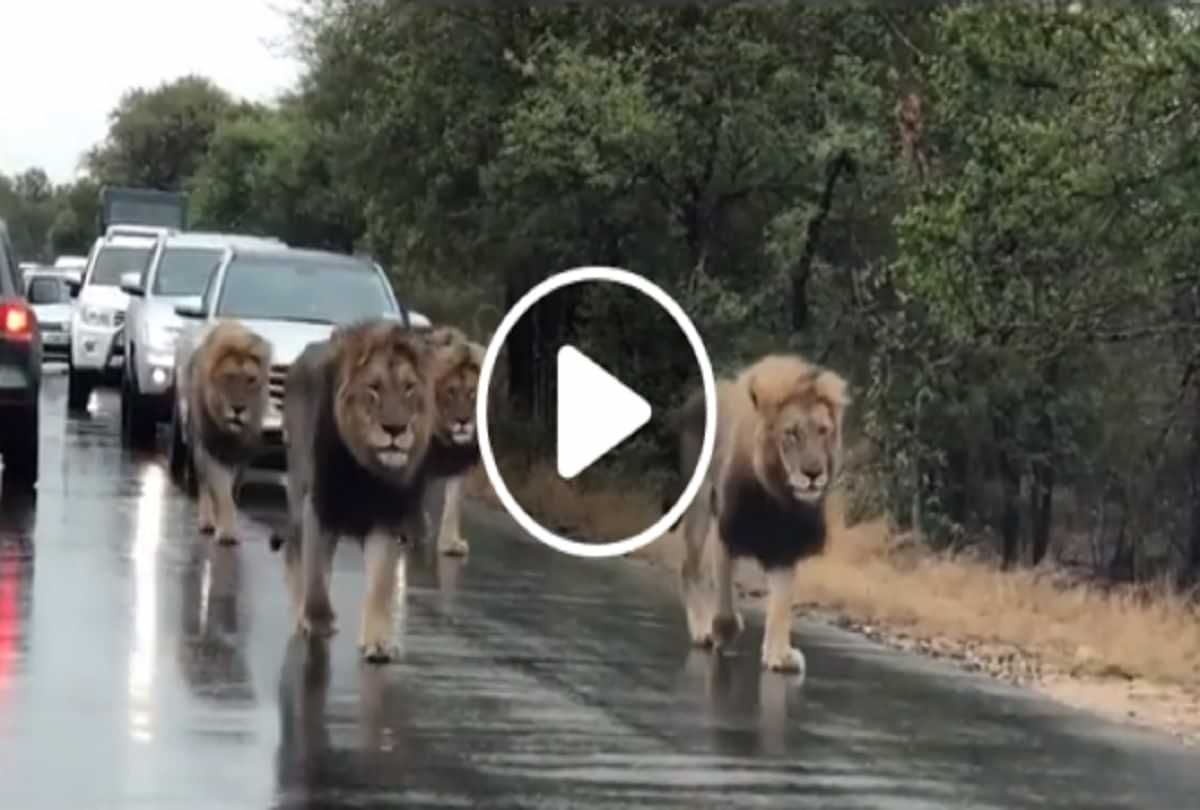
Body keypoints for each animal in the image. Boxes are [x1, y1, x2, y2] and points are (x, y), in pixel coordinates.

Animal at [183, 319, 272, 545]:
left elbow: (231, 491)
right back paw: (207, 521)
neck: (230, 434)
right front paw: (226, 532)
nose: (238, 409)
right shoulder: (211, 450)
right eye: (229, 377)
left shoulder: (240, 456)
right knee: (204, 485)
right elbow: (221, 493)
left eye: (251, 379)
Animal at [278, 317, 437, 663]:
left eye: (408, 387)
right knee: (296, 553)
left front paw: (378, 643)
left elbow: (380, 584)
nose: (395, 429)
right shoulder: (319, 507)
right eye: (373, 388)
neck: (366, 468)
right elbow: (315, 578)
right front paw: (318, 620)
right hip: (297, 492)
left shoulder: (385, 518)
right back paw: (300, 616)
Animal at [668, 353, 850, 675]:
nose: (813, 473)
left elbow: (780, 605)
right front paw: (723, 632)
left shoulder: (785, 549)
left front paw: (779, 655)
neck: (777, 497)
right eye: (791, 433)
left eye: (823, 430)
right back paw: (702, 630)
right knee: (690, 569)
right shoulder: (727, 532)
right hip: (700, 509)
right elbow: (725, 599)